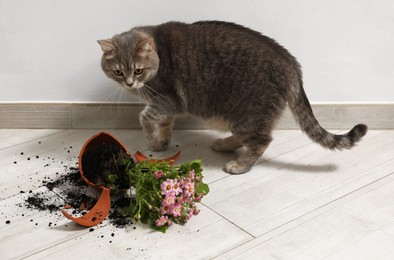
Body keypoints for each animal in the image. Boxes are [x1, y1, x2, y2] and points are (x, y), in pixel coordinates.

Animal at [97, 20, 366, 175]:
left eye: (138, 70)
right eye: (118, 72)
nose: (129, 83)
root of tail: (292, 65)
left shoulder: (167, 100)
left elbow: (145, 117)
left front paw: (151, 139)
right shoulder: (166, 107)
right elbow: (164, 123)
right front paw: (161, 142)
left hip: (248, 114)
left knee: (262, 140)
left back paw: (239, 164)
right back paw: (224, 144)